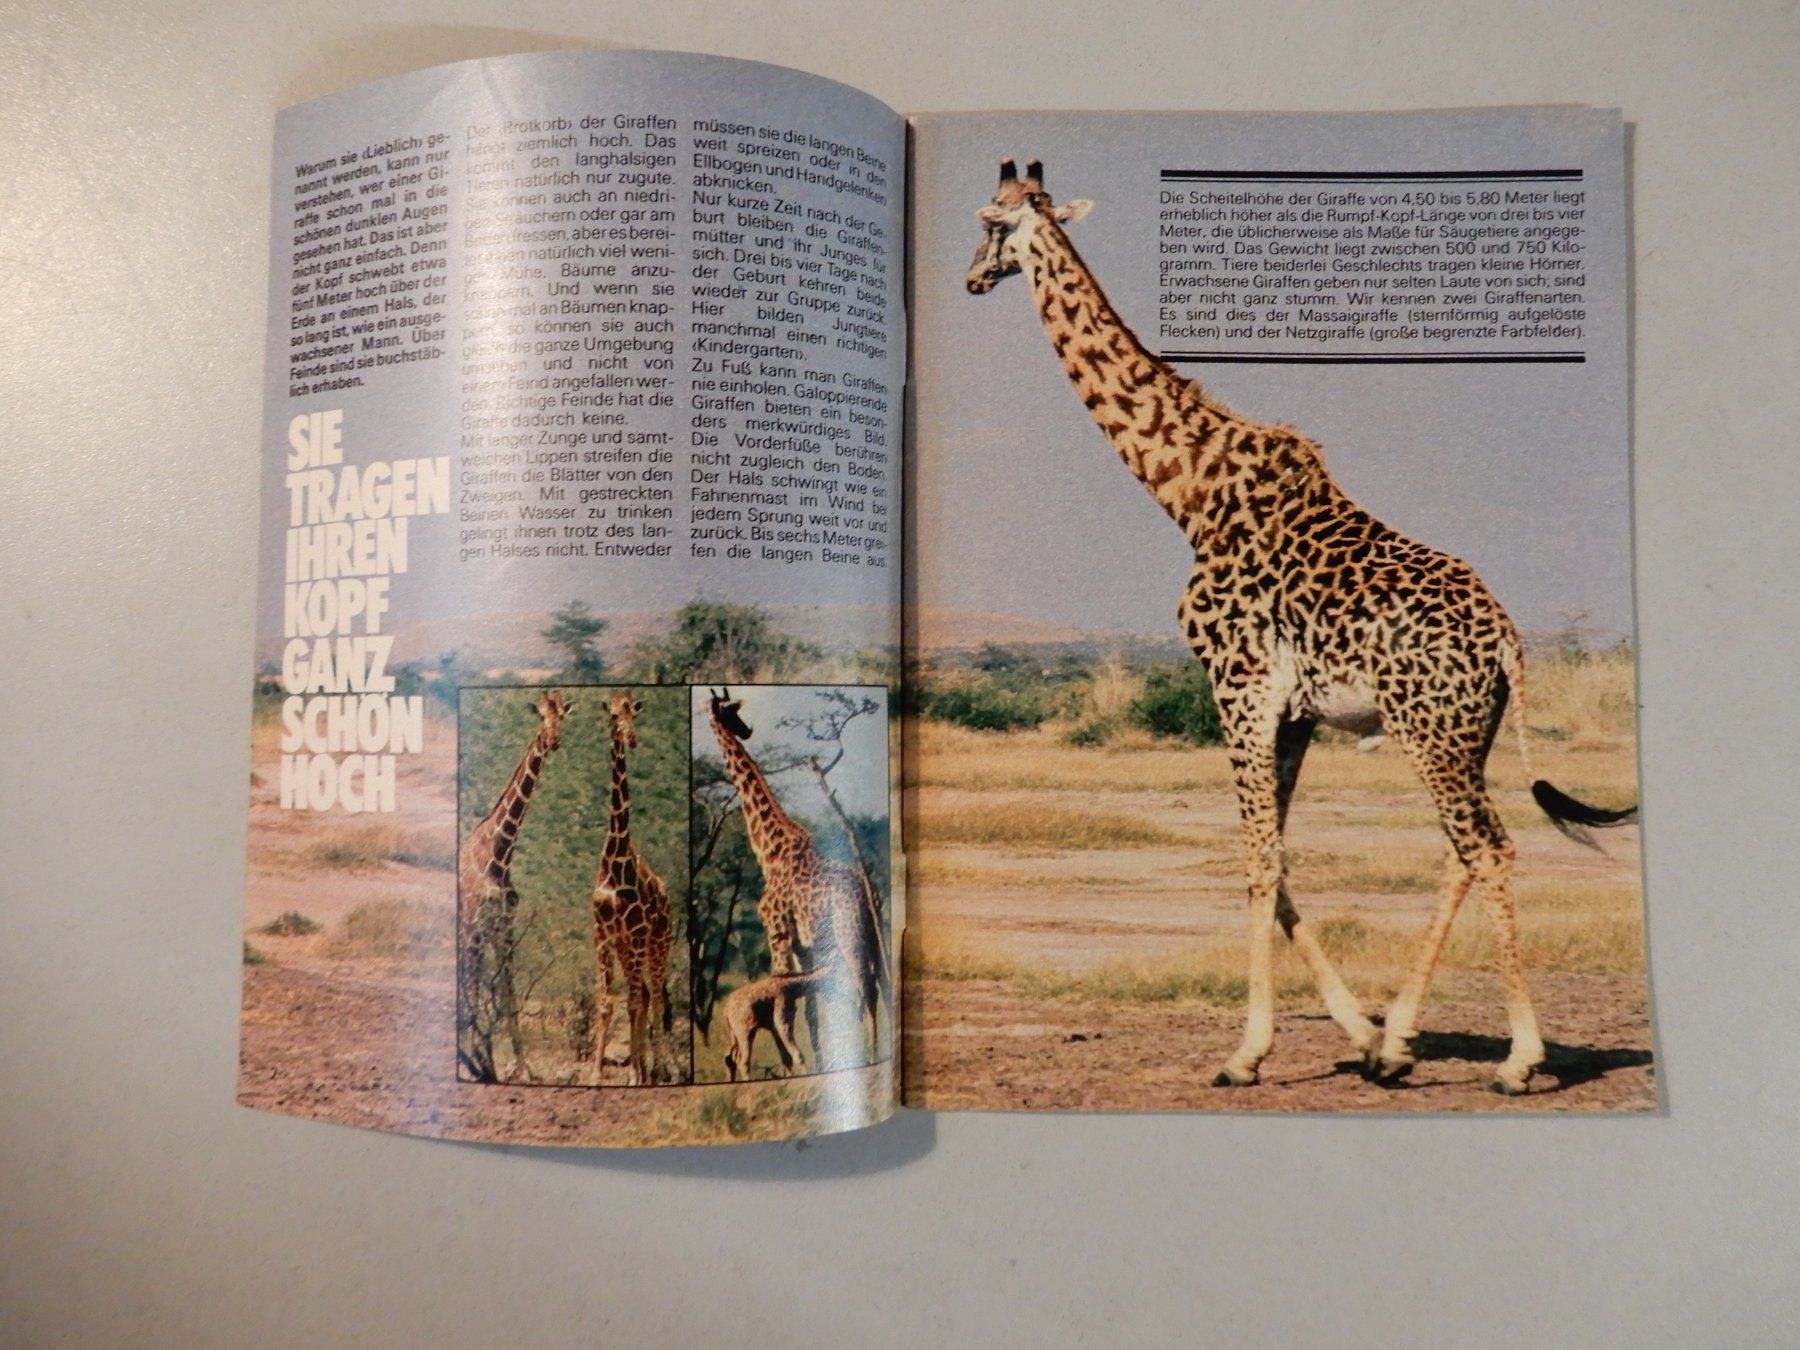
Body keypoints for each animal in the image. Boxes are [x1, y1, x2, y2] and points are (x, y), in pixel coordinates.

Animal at [456, 690, 574, 1082]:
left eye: (562, 716)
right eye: (540, 716)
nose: (552, 741)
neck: (499, 853)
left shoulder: (505, 928)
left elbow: (508, 997)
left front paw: (522, 1068)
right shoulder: (478, 927)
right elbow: (477, 990)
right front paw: (477, 1062)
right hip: (466, 930)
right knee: (468, 979)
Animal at [705, 688, 889, 1070]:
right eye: (730, 712)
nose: (746, 729)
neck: (768, 851)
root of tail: (868, 891)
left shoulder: (776, 932)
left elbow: (782, 992)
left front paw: (791, 1065)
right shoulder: (805, 946)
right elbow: (810, 1009)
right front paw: (815, 1065)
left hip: (849, 933)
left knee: (866, 985)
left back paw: (869, 1055)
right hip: (875, 930)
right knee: (883, 981)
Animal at [966, 159, 1636, 1094]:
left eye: (990, 223)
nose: (971, 279)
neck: (1189, 493)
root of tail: (1509, 639)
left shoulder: (1238, 686)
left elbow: (1256, 858)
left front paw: (1245, 1055)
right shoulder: (1292, 714)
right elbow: (1275, 856)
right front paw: (1362, 1035)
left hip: (1429, 729)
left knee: (1490, 848)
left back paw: (1518, 1059)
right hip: (1464, 732)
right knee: (1459, 850)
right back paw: (1401, 1041)